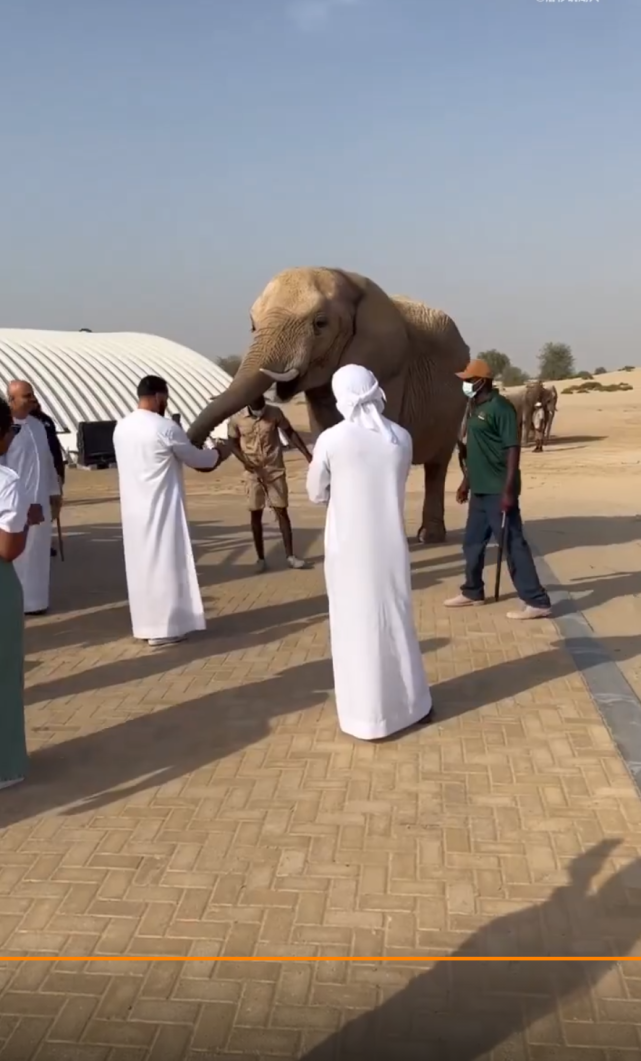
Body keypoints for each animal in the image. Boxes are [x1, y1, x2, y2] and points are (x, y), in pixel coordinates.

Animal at [189, 269, 471, 543]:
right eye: (252, 325)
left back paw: (429, 538)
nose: (215, 447)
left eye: (320, 324)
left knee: (437, 466)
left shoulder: (387, 369)